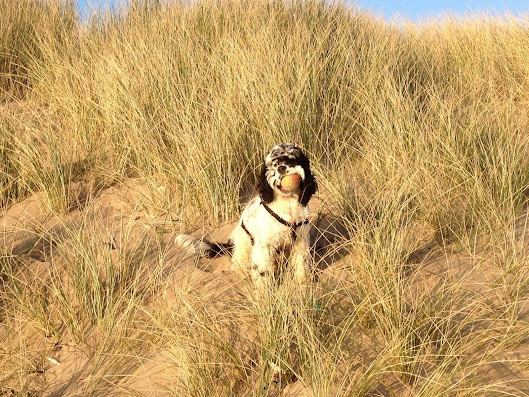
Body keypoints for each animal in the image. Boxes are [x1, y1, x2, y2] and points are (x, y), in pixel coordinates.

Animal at [175, 142, 318, 290]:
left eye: (292, 160)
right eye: (274, 164)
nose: (281, 168)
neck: (286, 202)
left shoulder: (300, 240)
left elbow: (301, 264)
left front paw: (303, 283)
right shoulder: (264, 245)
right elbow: (262, 272)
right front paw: (264, 292)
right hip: (244, 245)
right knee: (238, 265)